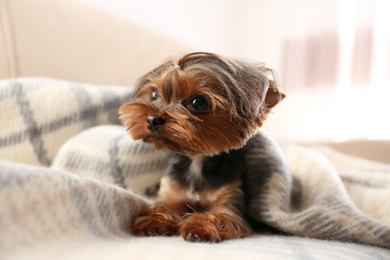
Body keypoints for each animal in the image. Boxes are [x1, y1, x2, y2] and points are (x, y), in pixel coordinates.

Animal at [120, 51, 284, 243]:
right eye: (154, 95)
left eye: (198, 103)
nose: (152, 120)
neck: (196, 160)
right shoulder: (171, 195)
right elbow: (161, 207)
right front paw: (151, 222)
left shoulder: (229, 200)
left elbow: (220, 216)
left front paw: (198, 227)